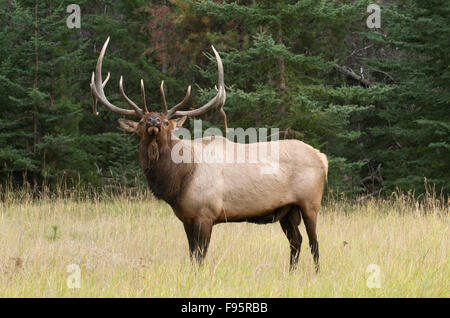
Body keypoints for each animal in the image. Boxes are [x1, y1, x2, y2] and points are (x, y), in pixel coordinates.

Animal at [91, 37, 328, 270]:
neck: (179, 179)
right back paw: (291, 272)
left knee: (314, 242)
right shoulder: (186, 218)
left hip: (310, 203)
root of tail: (323, 158)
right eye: (141, 121)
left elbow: (200, 257)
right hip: (287, 210)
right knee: (296, 240)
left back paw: (316, 273)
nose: (154, 121)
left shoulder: (206, 214)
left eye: (167, 122)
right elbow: (192, 256)